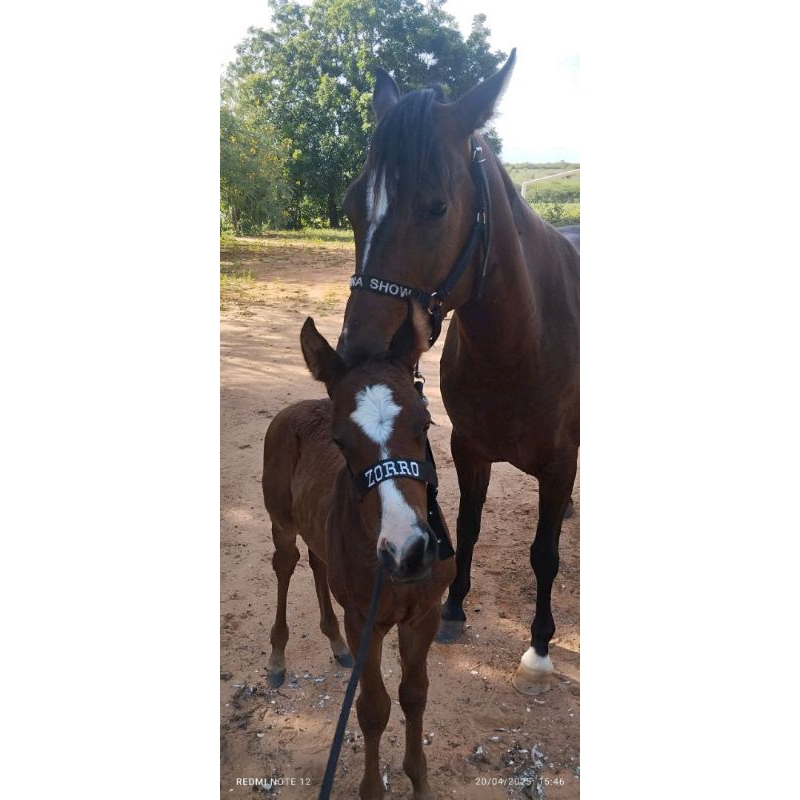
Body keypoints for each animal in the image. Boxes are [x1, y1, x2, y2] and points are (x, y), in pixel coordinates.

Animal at [262, 314, 455, 800]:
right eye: (340, 442)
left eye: (425, 424)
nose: (409, 551)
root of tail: (292, 409)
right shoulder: (362, 621)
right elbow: (372, 708)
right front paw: (373, 788)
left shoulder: (424, 615)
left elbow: (414, 694)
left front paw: (419, 781)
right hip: (281, 523)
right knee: (286, 566)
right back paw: (277, 659)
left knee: (317, 563)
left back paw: (333, 643)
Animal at [335, 49, 579, 696]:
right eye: (351, 204)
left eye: (436, 206)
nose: (359, 355)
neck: (521, 344)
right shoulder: (468, 448)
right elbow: (466, 527)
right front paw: (453, 610)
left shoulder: (559, 461)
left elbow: (544, 552)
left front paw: (538, 649)